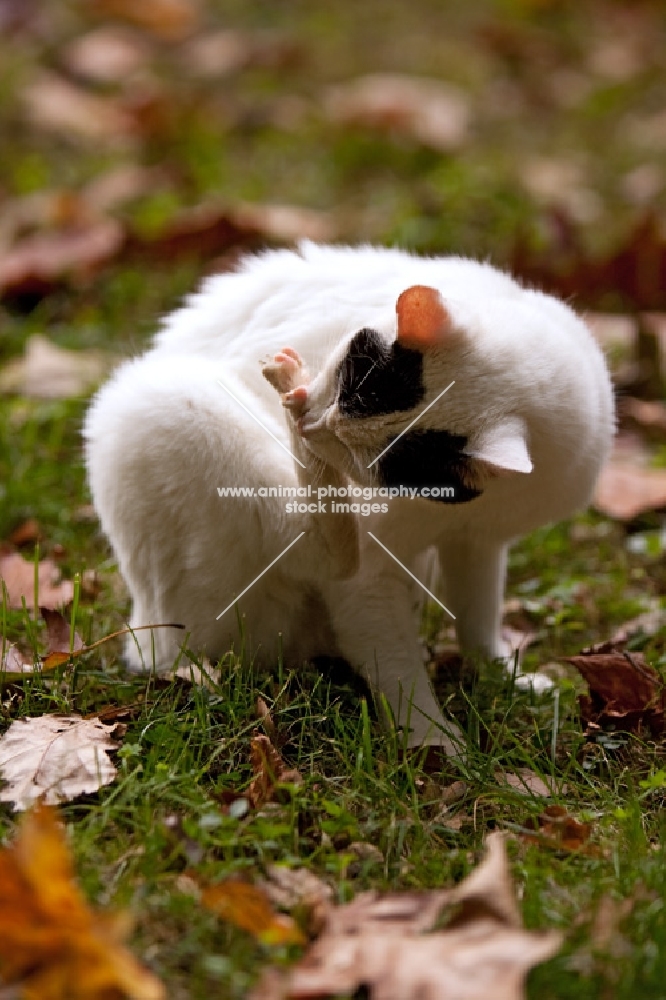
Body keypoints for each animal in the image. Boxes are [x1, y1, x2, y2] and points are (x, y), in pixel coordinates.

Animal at [85, 244, 616, 756]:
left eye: (372, 458)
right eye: (348, 386)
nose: (311, 423)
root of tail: (145, 628)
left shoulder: (478, 542)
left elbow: (478, 618)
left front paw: (501, 678)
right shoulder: (371, 576)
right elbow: (396, 664)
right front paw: (434, 742)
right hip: (171, 406)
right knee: (323, 555)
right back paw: (284, 382)